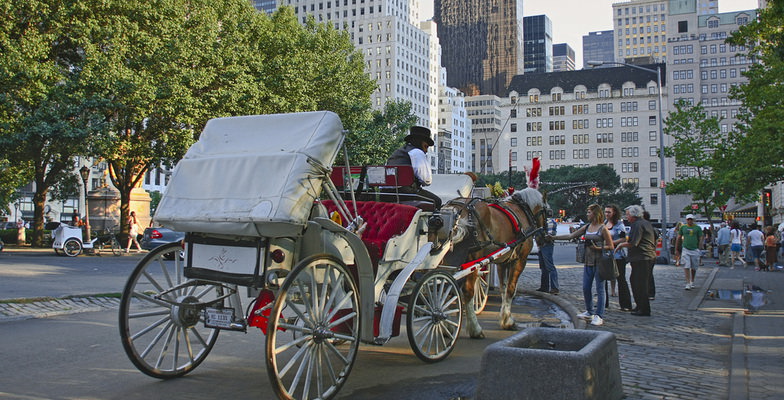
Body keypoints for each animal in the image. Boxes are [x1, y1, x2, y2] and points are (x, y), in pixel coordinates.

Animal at [440, 188, 544, 338]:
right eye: (548, 212)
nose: (543, 239)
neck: (522, 210)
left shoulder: (503, 261)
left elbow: (503, 288)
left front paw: (505, 317)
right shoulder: (520, 260)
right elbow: (510, 288)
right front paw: (508, 321)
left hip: (448, 259)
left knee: (444, 285)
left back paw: (445, 325)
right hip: (473, 259)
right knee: (467, 291)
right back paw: (475, 329)